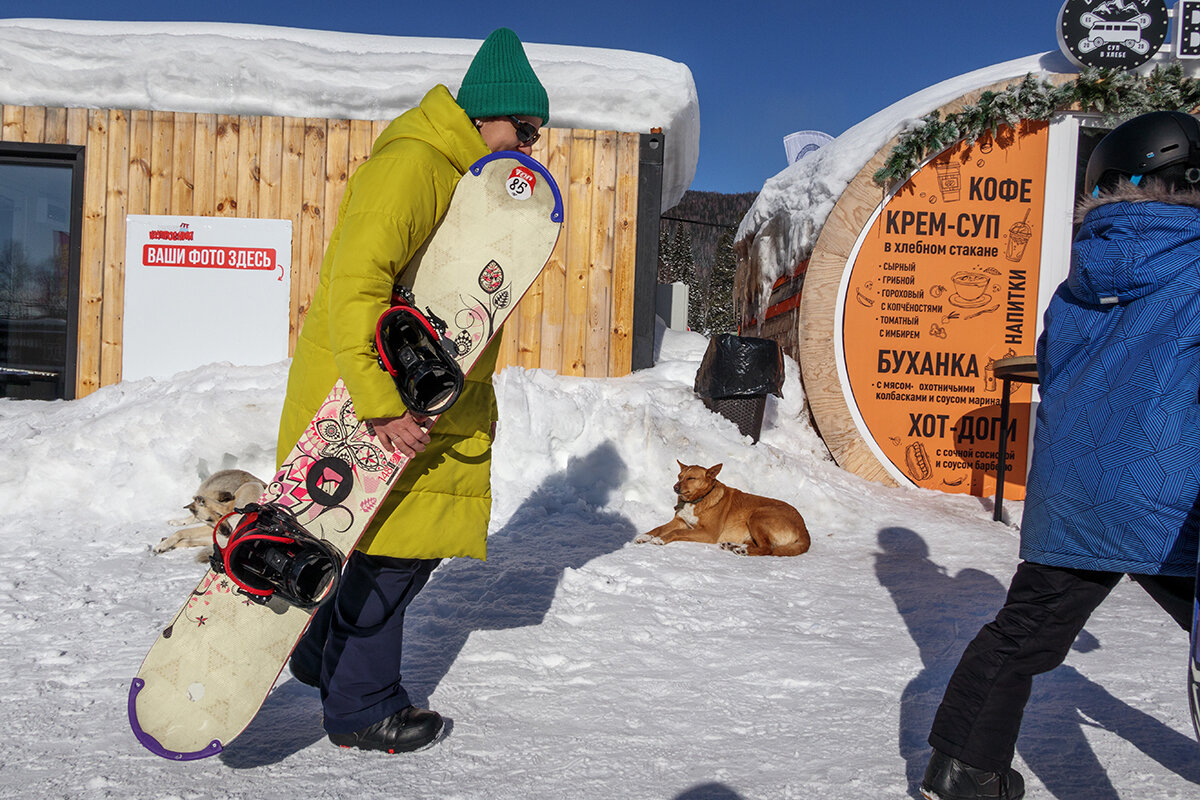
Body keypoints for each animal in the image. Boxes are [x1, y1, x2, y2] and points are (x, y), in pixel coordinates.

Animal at [633, 462, 811, 556]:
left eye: (691, 478)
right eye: (679, 477)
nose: (675, 487)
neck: (697, 500)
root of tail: (804, 527)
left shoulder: (707, 533)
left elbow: (676, 532)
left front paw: (661, 539)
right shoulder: (679, 521)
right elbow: (658, 528)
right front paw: (645, 535)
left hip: (758, 515)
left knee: (767, 549)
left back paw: (743, 551)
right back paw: (735, 546)